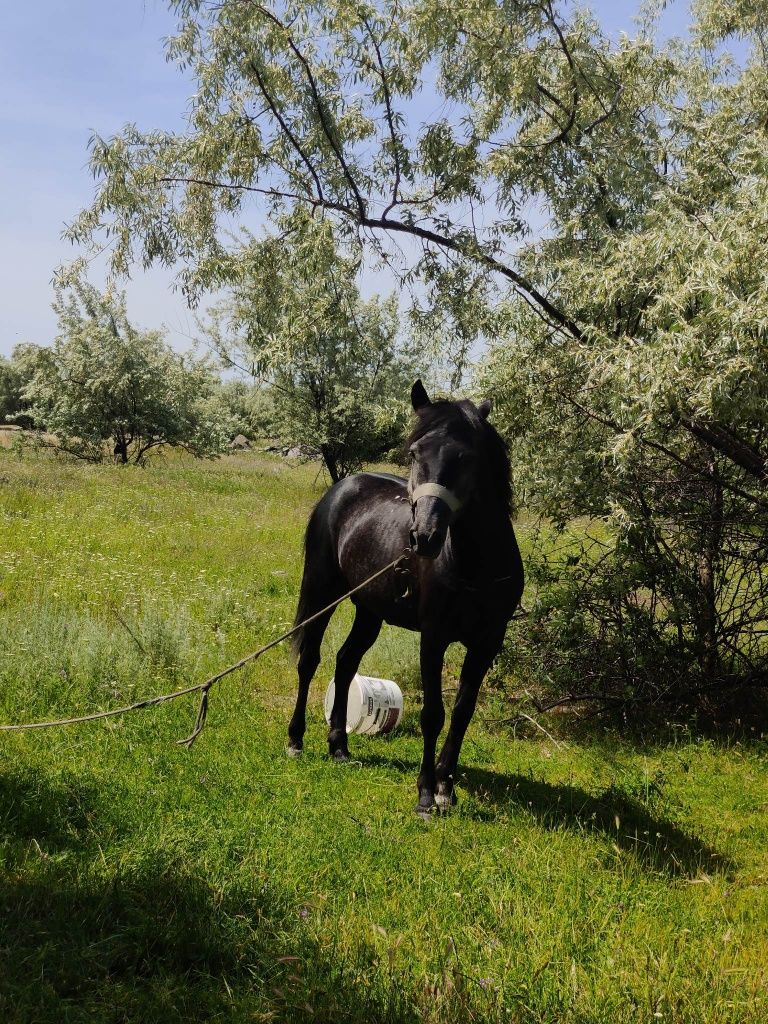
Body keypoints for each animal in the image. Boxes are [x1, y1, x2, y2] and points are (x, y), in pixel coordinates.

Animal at [290, 380, 528, 811]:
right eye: (415, 452)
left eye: (466, 457)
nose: (423, 537)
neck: (474, 565)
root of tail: (342, 487)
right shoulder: (433, 638)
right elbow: (433, 714)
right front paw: (425, 794)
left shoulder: (487, 643)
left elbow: (463, 711)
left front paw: (446, 787)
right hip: (321, 593)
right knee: (310, 660)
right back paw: (296, 739)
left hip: (369, 611)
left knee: (345, 663)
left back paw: (339, 746)